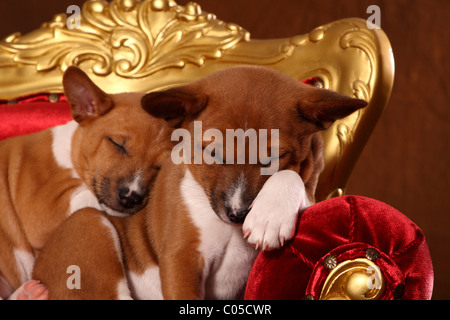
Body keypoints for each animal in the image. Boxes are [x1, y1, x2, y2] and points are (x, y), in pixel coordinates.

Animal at [0, 66, 173, 298]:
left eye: (159, 167)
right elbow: (88, 198)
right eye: (117, 144)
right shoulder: (40, 212)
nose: (130, 197)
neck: (70, 154)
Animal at [33, 65, 368, 300]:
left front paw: (269, 216)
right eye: (212, 152)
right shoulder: (183, 258)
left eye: (273, 157)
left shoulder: (314, 193)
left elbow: (294, 176)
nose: (238, 213)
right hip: (90, 228)